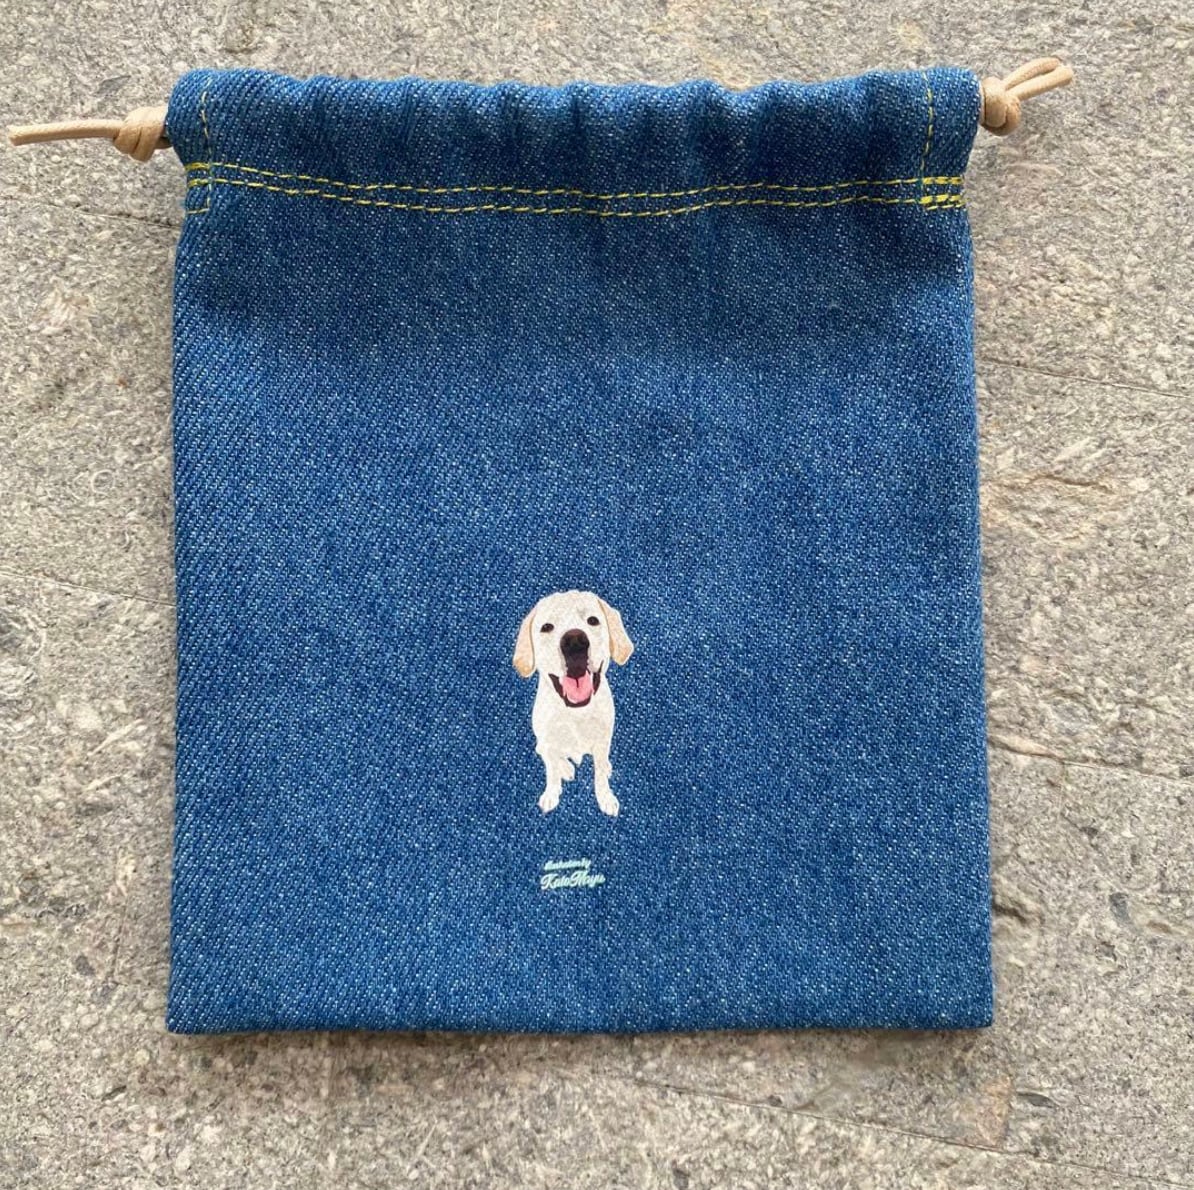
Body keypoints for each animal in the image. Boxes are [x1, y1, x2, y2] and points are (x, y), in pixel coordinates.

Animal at [513, 591, 634, 816]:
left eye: (593, 620)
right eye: (547, 627)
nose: (575, 641)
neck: (576, 713)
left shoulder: (602, 739)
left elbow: (600, 775)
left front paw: (605, 797)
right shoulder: (549, 740)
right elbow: (551, 773)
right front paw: (551, 794)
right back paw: (566, 768)